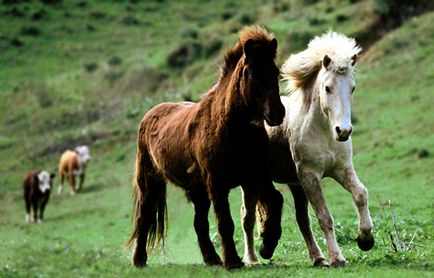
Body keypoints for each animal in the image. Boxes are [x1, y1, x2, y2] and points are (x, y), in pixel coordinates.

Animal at [127, 26, 286, 270]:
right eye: (252, 74)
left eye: (275, 72)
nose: (277, 113)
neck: (232, 127)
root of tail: (150, 114)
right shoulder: (217, 183)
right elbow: (225, 222)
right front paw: (233, 262)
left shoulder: (256, 175)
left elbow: (276, 200)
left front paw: (267, 246)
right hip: (150, 183)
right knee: (143, 218)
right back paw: (139, 260)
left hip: (198, 191)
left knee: (198, 223)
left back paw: (212, 259)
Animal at [242, 31, 374, 268]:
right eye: (327, 87)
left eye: (352, 87)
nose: (343, 131)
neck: (324, 132)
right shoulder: (310, 175)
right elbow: (324, 216)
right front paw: (337, 258)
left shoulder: (341, 169)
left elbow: (361, 194)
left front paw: (365, 239)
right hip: (251, 182)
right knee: (247, 218)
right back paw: (252, 259)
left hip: (295, 184)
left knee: (302, 219)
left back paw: (318, 258)